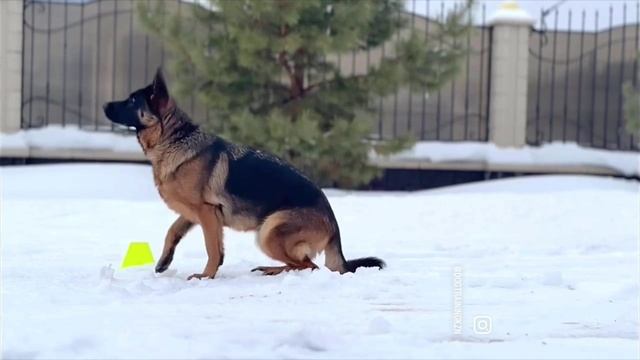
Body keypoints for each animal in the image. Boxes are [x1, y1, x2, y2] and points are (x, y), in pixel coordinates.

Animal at [104, 69, 384, 280]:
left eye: (132, 101)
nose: (105, 104)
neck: (175, 138)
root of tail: (333, 223)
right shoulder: (197, 213)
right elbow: (173, 230)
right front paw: (164, 261)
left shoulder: (207, 213)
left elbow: (212, 249)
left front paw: (205, 276)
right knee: (305, 264)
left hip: (268, 231)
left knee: (310, 266)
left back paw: (272, 270)